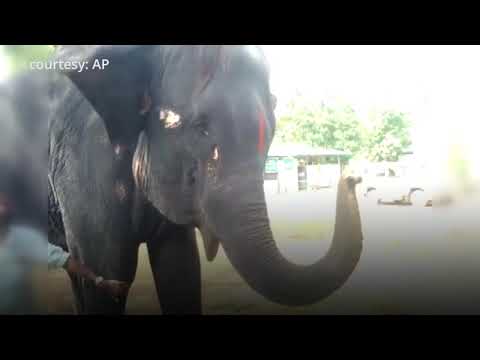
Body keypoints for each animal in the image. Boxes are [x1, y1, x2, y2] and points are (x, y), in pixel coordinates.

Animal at [48, 45, 364, 316]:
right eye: (200, 127)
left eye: (272, 132)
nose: (352, 176)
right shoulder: (82, 165)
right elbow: (103, 271)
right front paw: (109, 284)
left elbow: (180, 270)